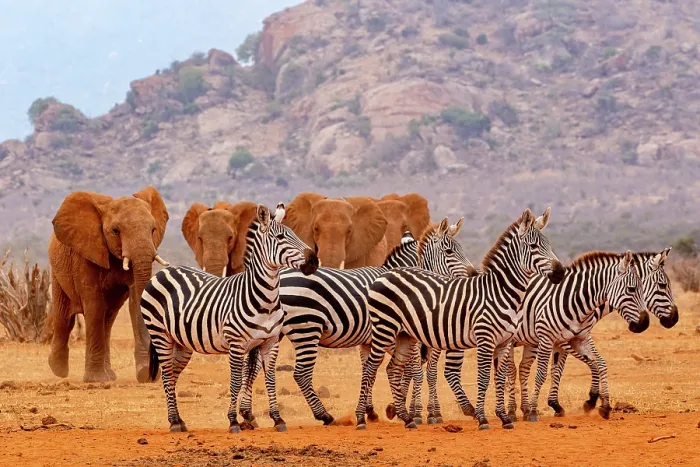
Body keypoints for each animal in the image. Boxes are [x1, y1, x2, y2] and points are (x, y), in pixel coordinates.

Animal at [48, 186, 169, 383]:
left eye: (153, 230)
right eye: (115, 231)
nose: (151, 373)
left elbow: (135, 302)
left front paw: (144, 374)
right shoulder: (85, 254)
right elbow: (94, 304)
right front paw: (96, 380)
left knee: (108, 320)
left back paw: (110, 375)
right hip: (57, 271)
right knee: (64, 318)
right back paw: (58, 370)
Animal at [140, 203, 318, 433]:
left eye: (295, 234)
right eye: (280, 237)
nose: (313, 261)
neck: (266, 301)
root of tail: (165, 271)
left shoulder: (271, 342)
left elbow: (270, 379)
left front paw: (278, 419)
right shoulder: (236, 343)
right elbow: (235, 381)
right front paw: (233, 421)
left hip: (182, 342)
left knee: (171, 375)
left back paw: (180, 421)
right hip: (159, 333)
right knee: (166, 374)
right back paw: (173, 422)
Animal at [237, 217, 477, 428]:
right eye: (450, 252)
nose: (475, 274)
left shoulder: (371, 340)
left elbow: (372, 369)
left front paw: (376, 410)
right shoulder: (401, 336)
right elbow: (412, 371)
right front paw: (415, 412)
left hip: (274, 332)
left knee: (254, 367)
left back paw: (248, 415)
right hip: (307, 329)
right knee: (301, 374)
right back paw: (324, 415)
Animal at [354, 207, 566, 431]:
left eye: (549, 244)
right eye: (534, 246)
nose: (560, 272)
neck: (499, 292)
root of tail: (385, 274)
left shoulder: (504, 342)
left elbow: (499, 377)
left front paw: (504, 417)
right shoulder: (485, 339)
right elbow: (483, 377)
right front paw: (482, 418)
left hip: (404, 335)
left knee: (392, 369)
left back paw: (406, 418)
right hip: (384, 329)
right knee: (370, 368)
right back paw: (361, 418)